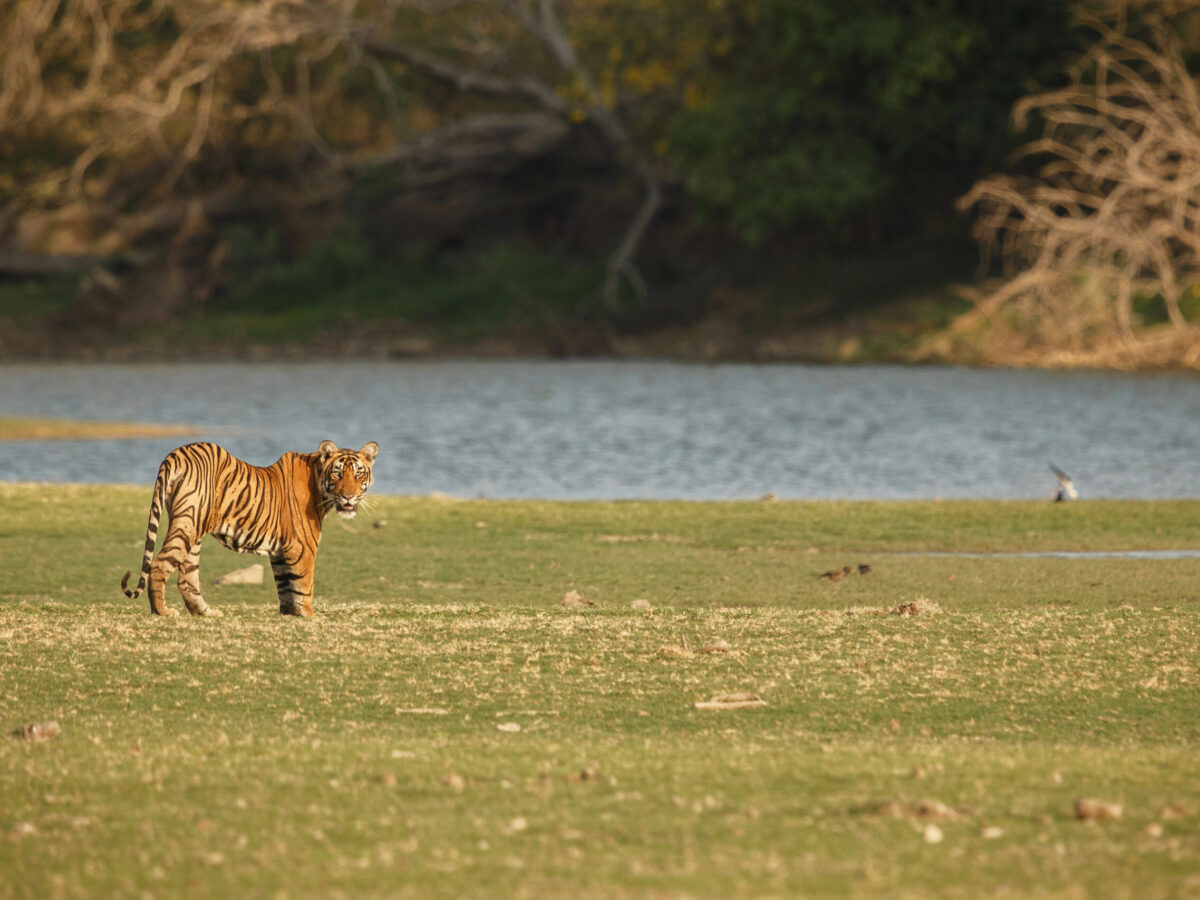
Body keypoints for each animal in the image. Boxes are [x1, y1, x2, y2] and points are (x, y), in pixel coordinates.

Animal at [121, 441, 374, 619]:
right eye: (337, 473)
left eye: (358, 473)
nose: (348, 496)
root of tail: (175, 454)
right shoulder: (303, 547)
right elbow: (304, 585)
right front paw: (309, 616)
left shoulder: (280, 552)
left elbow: (285, 587)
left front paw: (289, 615)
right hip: (189, 522)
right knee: (159, 564)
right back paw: (162, 611)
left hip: (192, 529)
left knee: (187, 577)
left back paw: (205, 612)